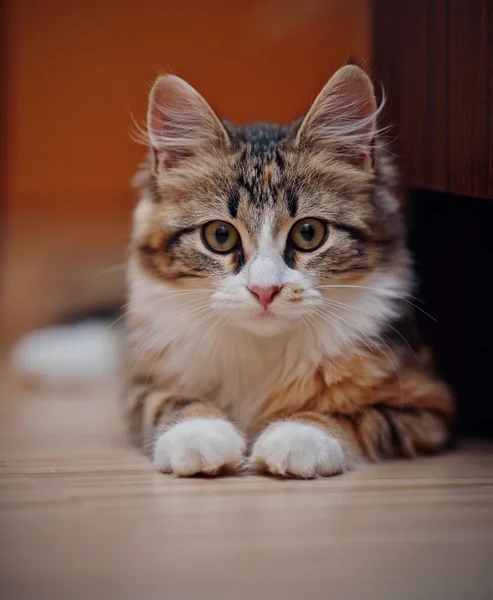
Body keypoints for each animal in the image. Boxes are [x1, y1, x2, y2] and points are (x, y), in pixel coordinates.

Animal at [125, 65, 456, 478]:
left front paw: (297, 436)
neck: (262, 353)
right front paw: (198, 434)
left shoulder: (426, 403)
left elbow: (351, 416)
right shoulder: (143, 385)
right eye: (220, 236)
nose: (264, 291)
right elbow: (170, 402)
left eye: (308, 233)